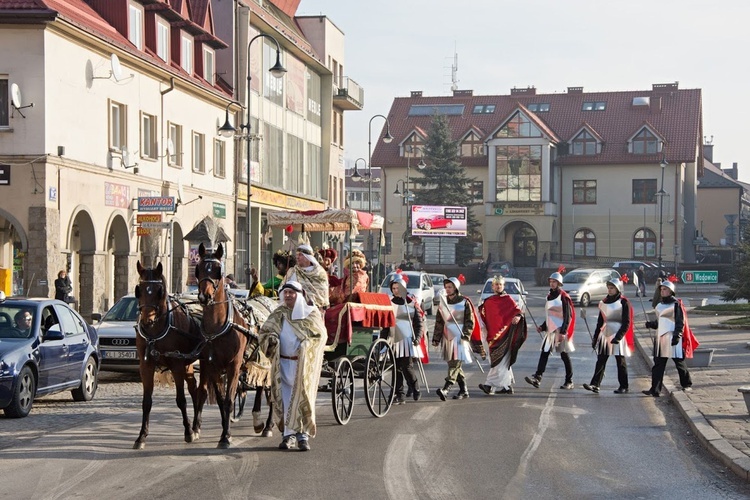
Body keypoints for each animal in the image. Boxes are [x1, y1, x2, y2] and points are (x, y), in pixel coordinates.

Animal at [135, 262, 204, 450]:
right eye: (139, 289)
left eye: (159, 290)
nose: (147, 321)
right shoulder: (146, 366)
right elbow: (146, 402)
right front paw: (141, 436)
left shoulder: (176, 365)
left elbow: (181, 400)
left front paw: (188, 432)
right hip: (188, 362)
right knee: (194, 389)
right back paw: (196, 425)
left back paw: (196, 426)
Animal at [195, 243, 272, 450]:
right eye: (198, 269)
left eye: (217, 270)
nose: (204, 296)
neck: (219, 325)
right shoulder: (212, 366)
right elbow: (222, 401)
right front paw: (224, 431)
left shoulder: (234, 366)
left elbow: (230, 400)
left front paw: (226, 437)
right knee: (261, 386)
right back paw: (258, 421)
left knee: (271, 390)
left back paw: (268, 425)